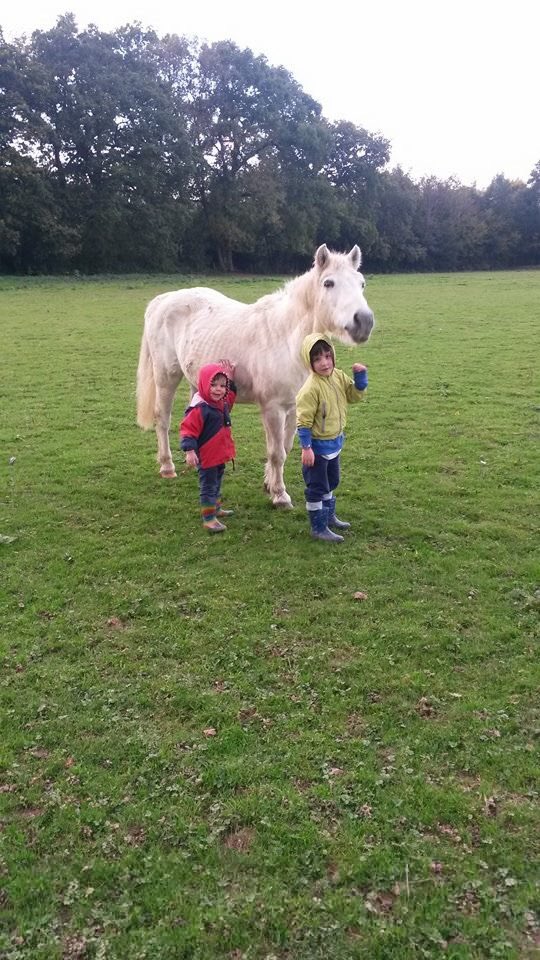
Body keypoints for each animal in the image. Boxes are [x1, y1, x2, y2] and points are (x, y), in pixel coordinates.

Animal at [136, 243, 375, 508]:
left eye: (361, 283)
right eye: (328, 283)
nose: (364, 321)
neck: (285, 338)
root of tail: (162, 300)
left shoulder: (294, 408)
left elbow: (285, 447)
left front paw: (269, 485)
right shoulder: (273, 408)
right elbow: (276, 452)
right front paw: (280, 495)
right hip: (166, 377)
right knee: (162, 419)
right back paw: (167, 467)